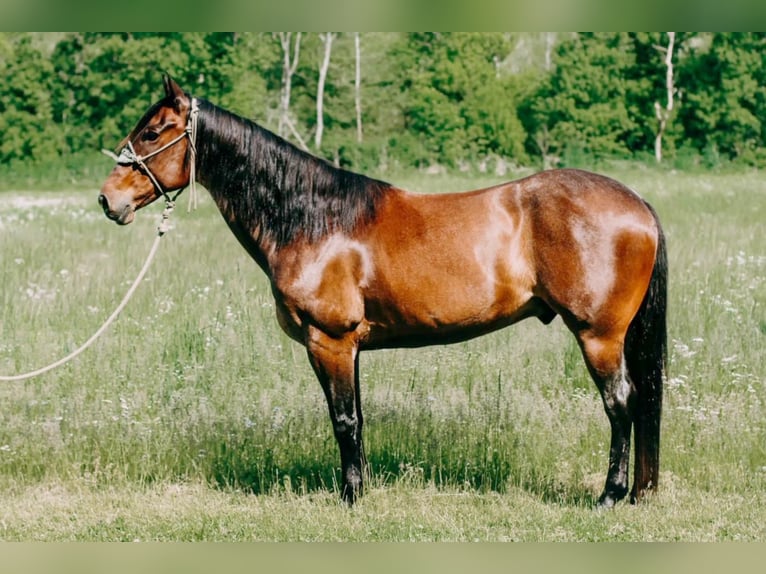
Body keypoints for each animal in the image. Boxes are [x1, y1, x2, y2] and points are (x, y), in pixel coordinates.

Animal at [100, 75, 664, 508]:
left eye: (152, 132)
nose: (108, 200)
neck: (314, 220)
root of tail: (637, 204)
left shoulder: (329, 341)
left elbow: (344, 420)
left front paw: (350, 497)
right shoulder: (349, 347)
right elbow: (358, 419)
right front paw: (362, 488)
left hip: (597, 335)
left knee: (621, 404)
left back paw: (610, 495)